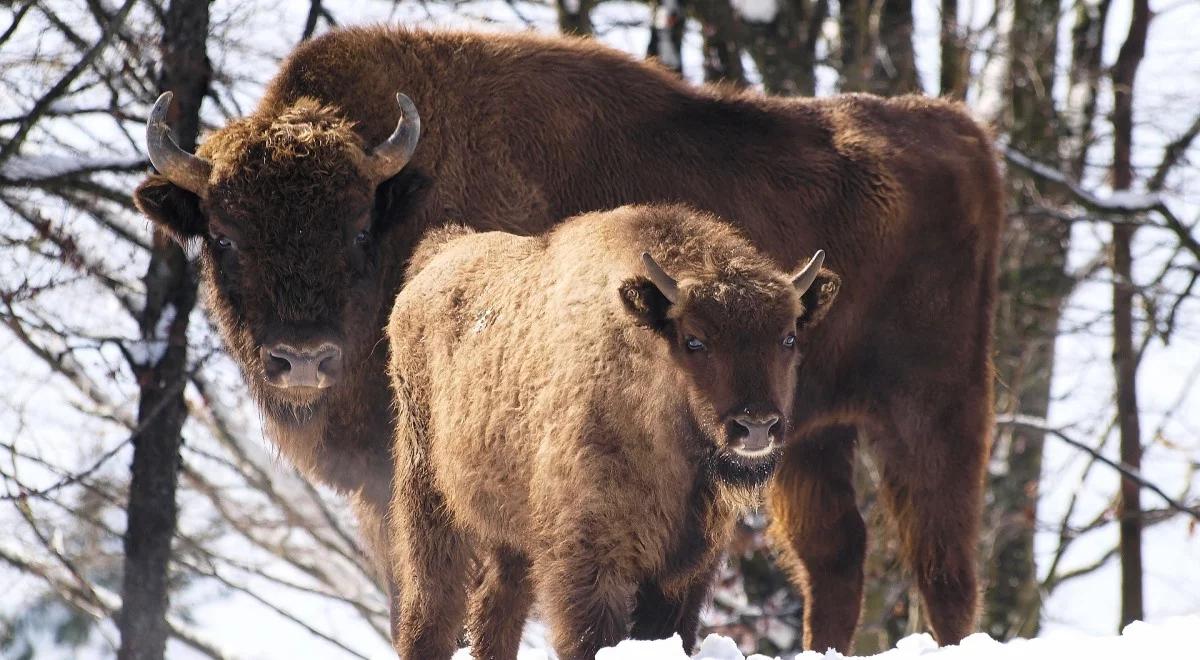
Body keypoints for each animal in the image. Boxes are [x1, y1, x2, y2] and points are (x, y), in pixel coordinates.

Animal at [388, 204, 840, 657]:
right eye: (694, 340)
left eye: (788, 337)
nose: (756, 426)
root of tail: (438, 256)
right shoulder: (589, 561)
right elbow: (590, 636)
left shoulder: (686, 569)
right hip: (428, 499)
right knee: (432, 609)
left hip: (508, 532)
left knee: (495, 609)